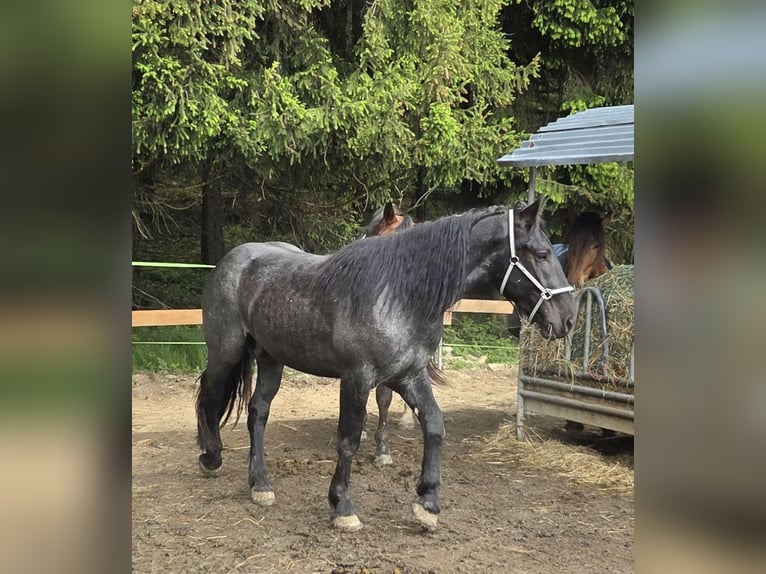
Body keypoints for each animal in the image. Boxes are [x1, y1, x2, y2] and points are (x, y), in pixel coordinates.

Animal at [195, 201, 575, 532]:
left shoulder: (410, 375)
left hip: (272, 358)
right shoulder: (356, 378)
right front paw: (342, 507)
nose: (568, 318)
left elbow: (434, 425)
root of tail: (236, 259)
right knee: (210, 396)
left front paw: (427, 503)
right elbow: (348, 438)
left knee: (257, 412)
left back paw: (260, 484)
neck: (400, 294)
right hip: (226, 352)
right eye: (542, 254)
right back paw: (211, 457)